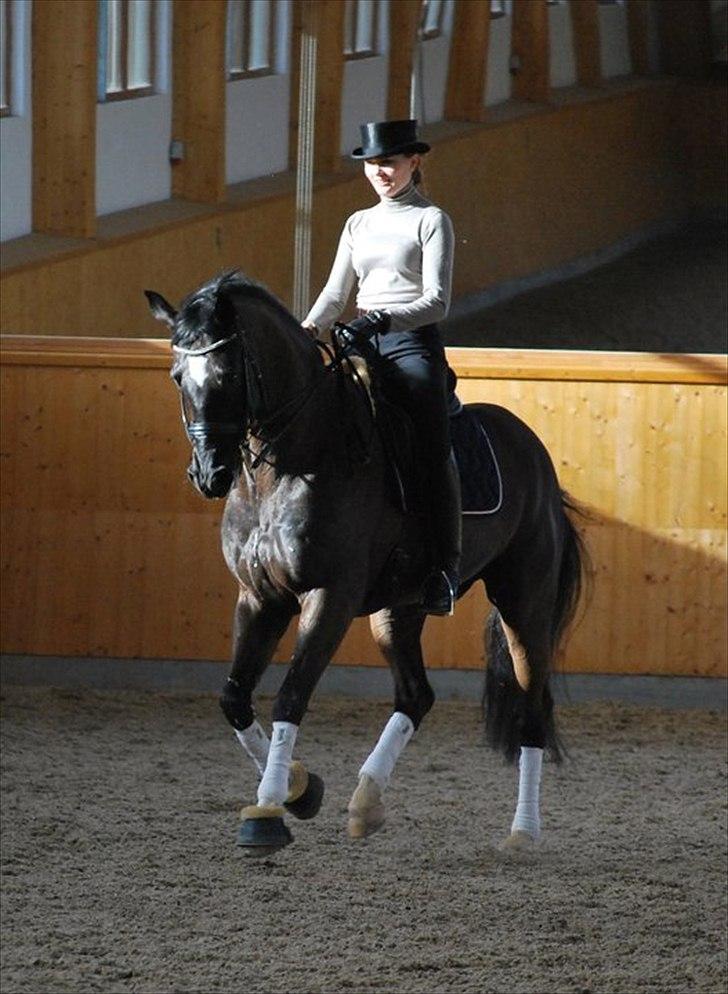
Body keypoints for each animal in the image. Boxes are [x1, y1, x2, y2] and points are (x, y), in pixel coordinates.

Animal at [148, 270, 584, 852]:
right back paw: (366, 802)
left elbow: (290, 697)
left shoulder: (328, 597)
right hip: (398, 610)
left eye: (227, 373)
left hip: (523, 603)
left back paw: (522, 833)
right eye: (177, 377)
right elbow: (234, 699)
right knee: (417, 695)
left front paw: (268, 812)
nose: (209, 474)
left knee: (531, 707)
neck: (292, 463)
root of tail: (536, 453)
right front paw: (300, 790)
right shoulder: (260, 598)